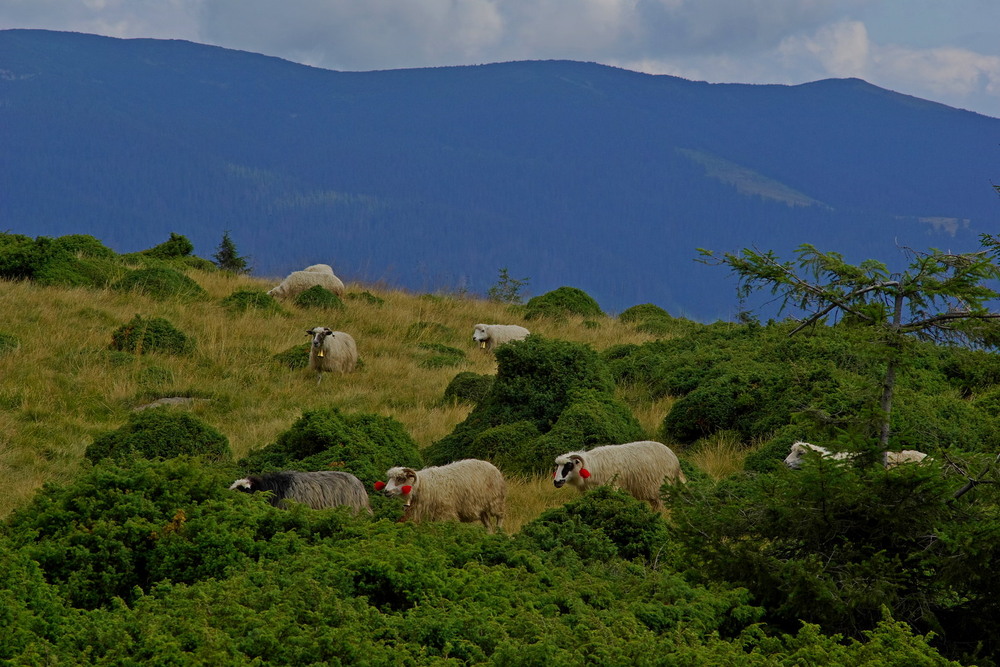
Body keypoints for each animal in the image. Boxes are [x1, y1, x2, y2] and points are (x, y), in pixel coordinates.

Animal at [378, 460, 512, 532]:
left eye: (400, 479)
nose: (386, 491)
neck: (423, 485)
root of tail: (492, 466)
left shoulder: (445, 513)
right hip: (481, 508)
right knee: (488, 525)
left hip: (496, 500)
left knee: (500, 517)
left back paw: (499, 532)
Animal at [552, 440, 684, 516]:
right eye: (557, 466)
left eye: (569, 465)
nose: (556, 482)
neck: (593, 466)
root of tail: (675, 460)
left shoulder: (612, 487)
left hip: (662, 488)